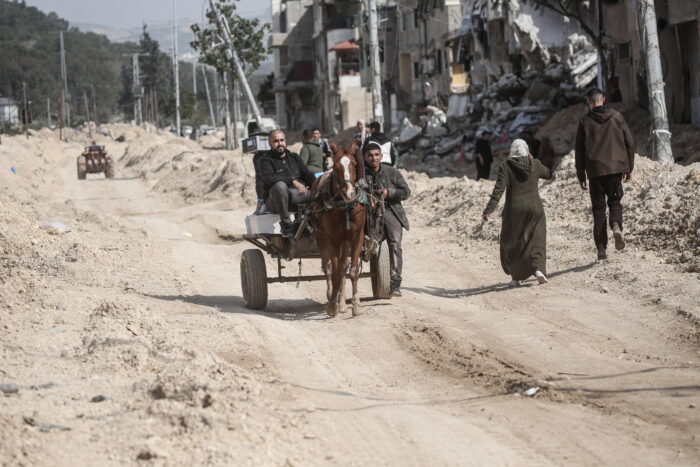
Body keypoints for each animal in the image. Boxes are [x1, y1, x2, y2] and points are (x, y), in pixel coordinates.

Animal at [314, 142, 366, 318]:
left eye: (355, 164)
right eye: (336, 167)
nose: (349, 192)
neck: (345, 207)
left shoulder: (357, 236)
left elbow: (353, 270)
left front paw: (356, 304)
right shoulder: (332, 239)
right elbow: (335, 274)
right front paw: (332, 306)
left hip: (346, 241)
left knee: (343, 267)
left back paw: (342, 302)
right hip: (321, 237)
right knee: (328, 267)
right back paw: (332, 296)